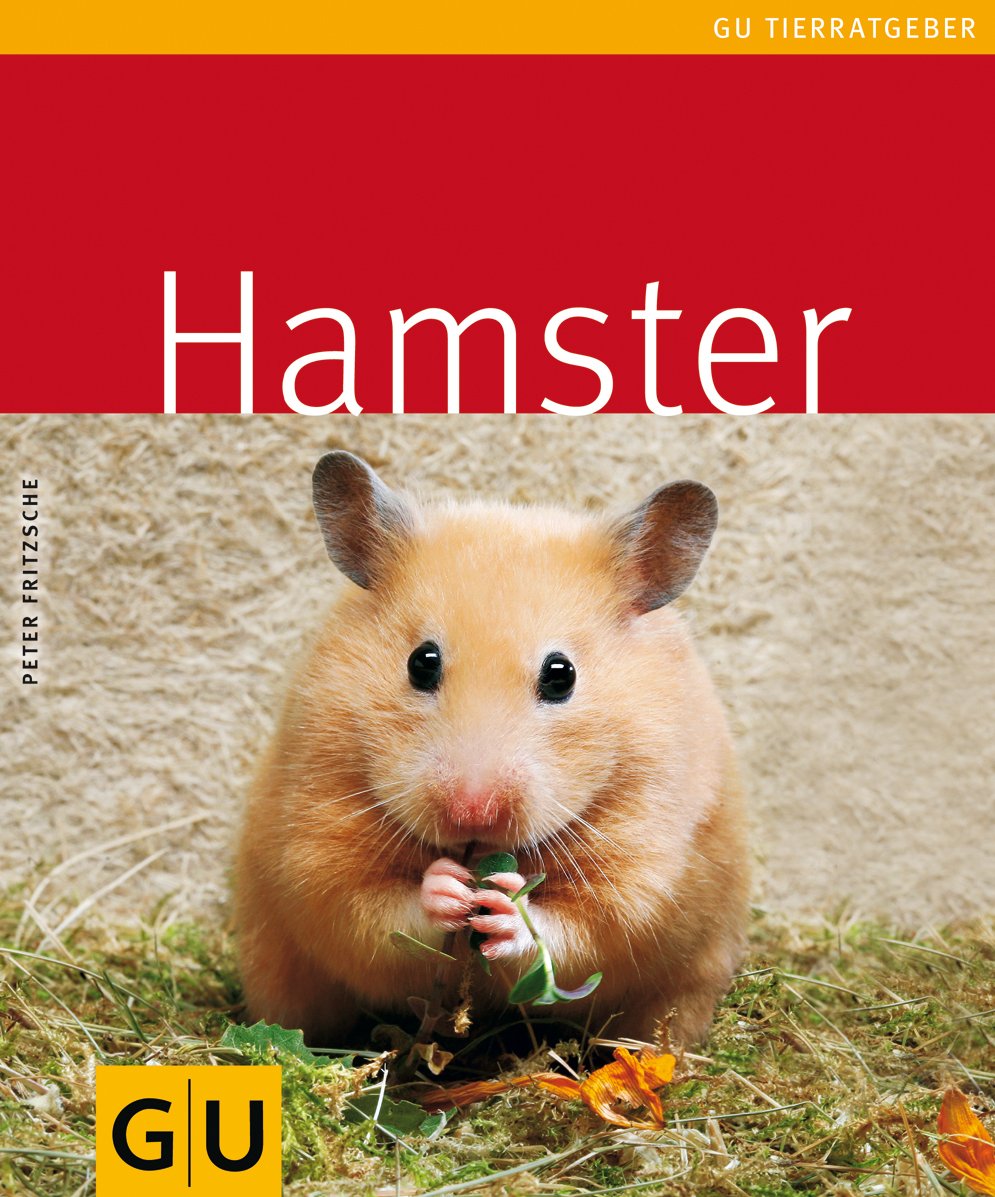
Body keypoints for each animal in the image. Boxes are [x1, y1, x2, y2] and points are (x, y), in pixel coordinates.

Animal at [235, 451, 748, 1048]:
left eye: (561, 674)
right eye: (421, 662)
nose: (472, 812)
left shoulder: (646, 863)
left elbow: (581, 928)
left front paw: (503, 902)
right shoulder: (316, 839)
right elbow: (373, 911)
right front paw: (450, 889)